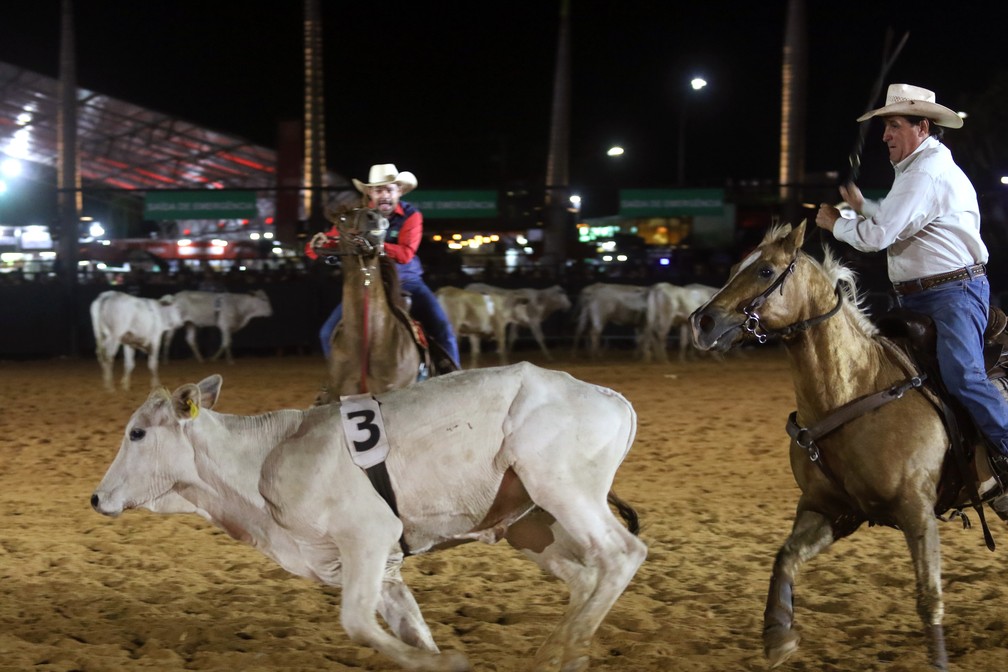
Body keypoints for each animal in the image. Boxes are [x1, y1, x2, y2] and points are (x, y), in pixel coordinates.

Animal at [94, 362, 645, 672]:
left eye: (137, 433)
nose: (97, 499)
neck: (260, 461)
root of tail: (612, 398)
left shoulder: (369, 537)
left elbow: (357, 622)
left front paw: (448, 661)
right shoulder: (382, 567)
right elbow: (410, 628)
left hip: (563, 489)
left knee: (621, 555)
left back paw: (568, 646)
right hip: (530, 523)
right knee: (585, 576)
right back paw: (561, 652)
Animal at [689, 221, 1003, 672]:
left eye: (766, 271)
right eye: (733, 268)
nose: (702, 322)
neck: (857, 387)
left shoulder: (917, 512)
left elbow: (929, 599)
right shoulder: (830, 509)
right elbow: (786, 556)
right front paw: (778, 635)